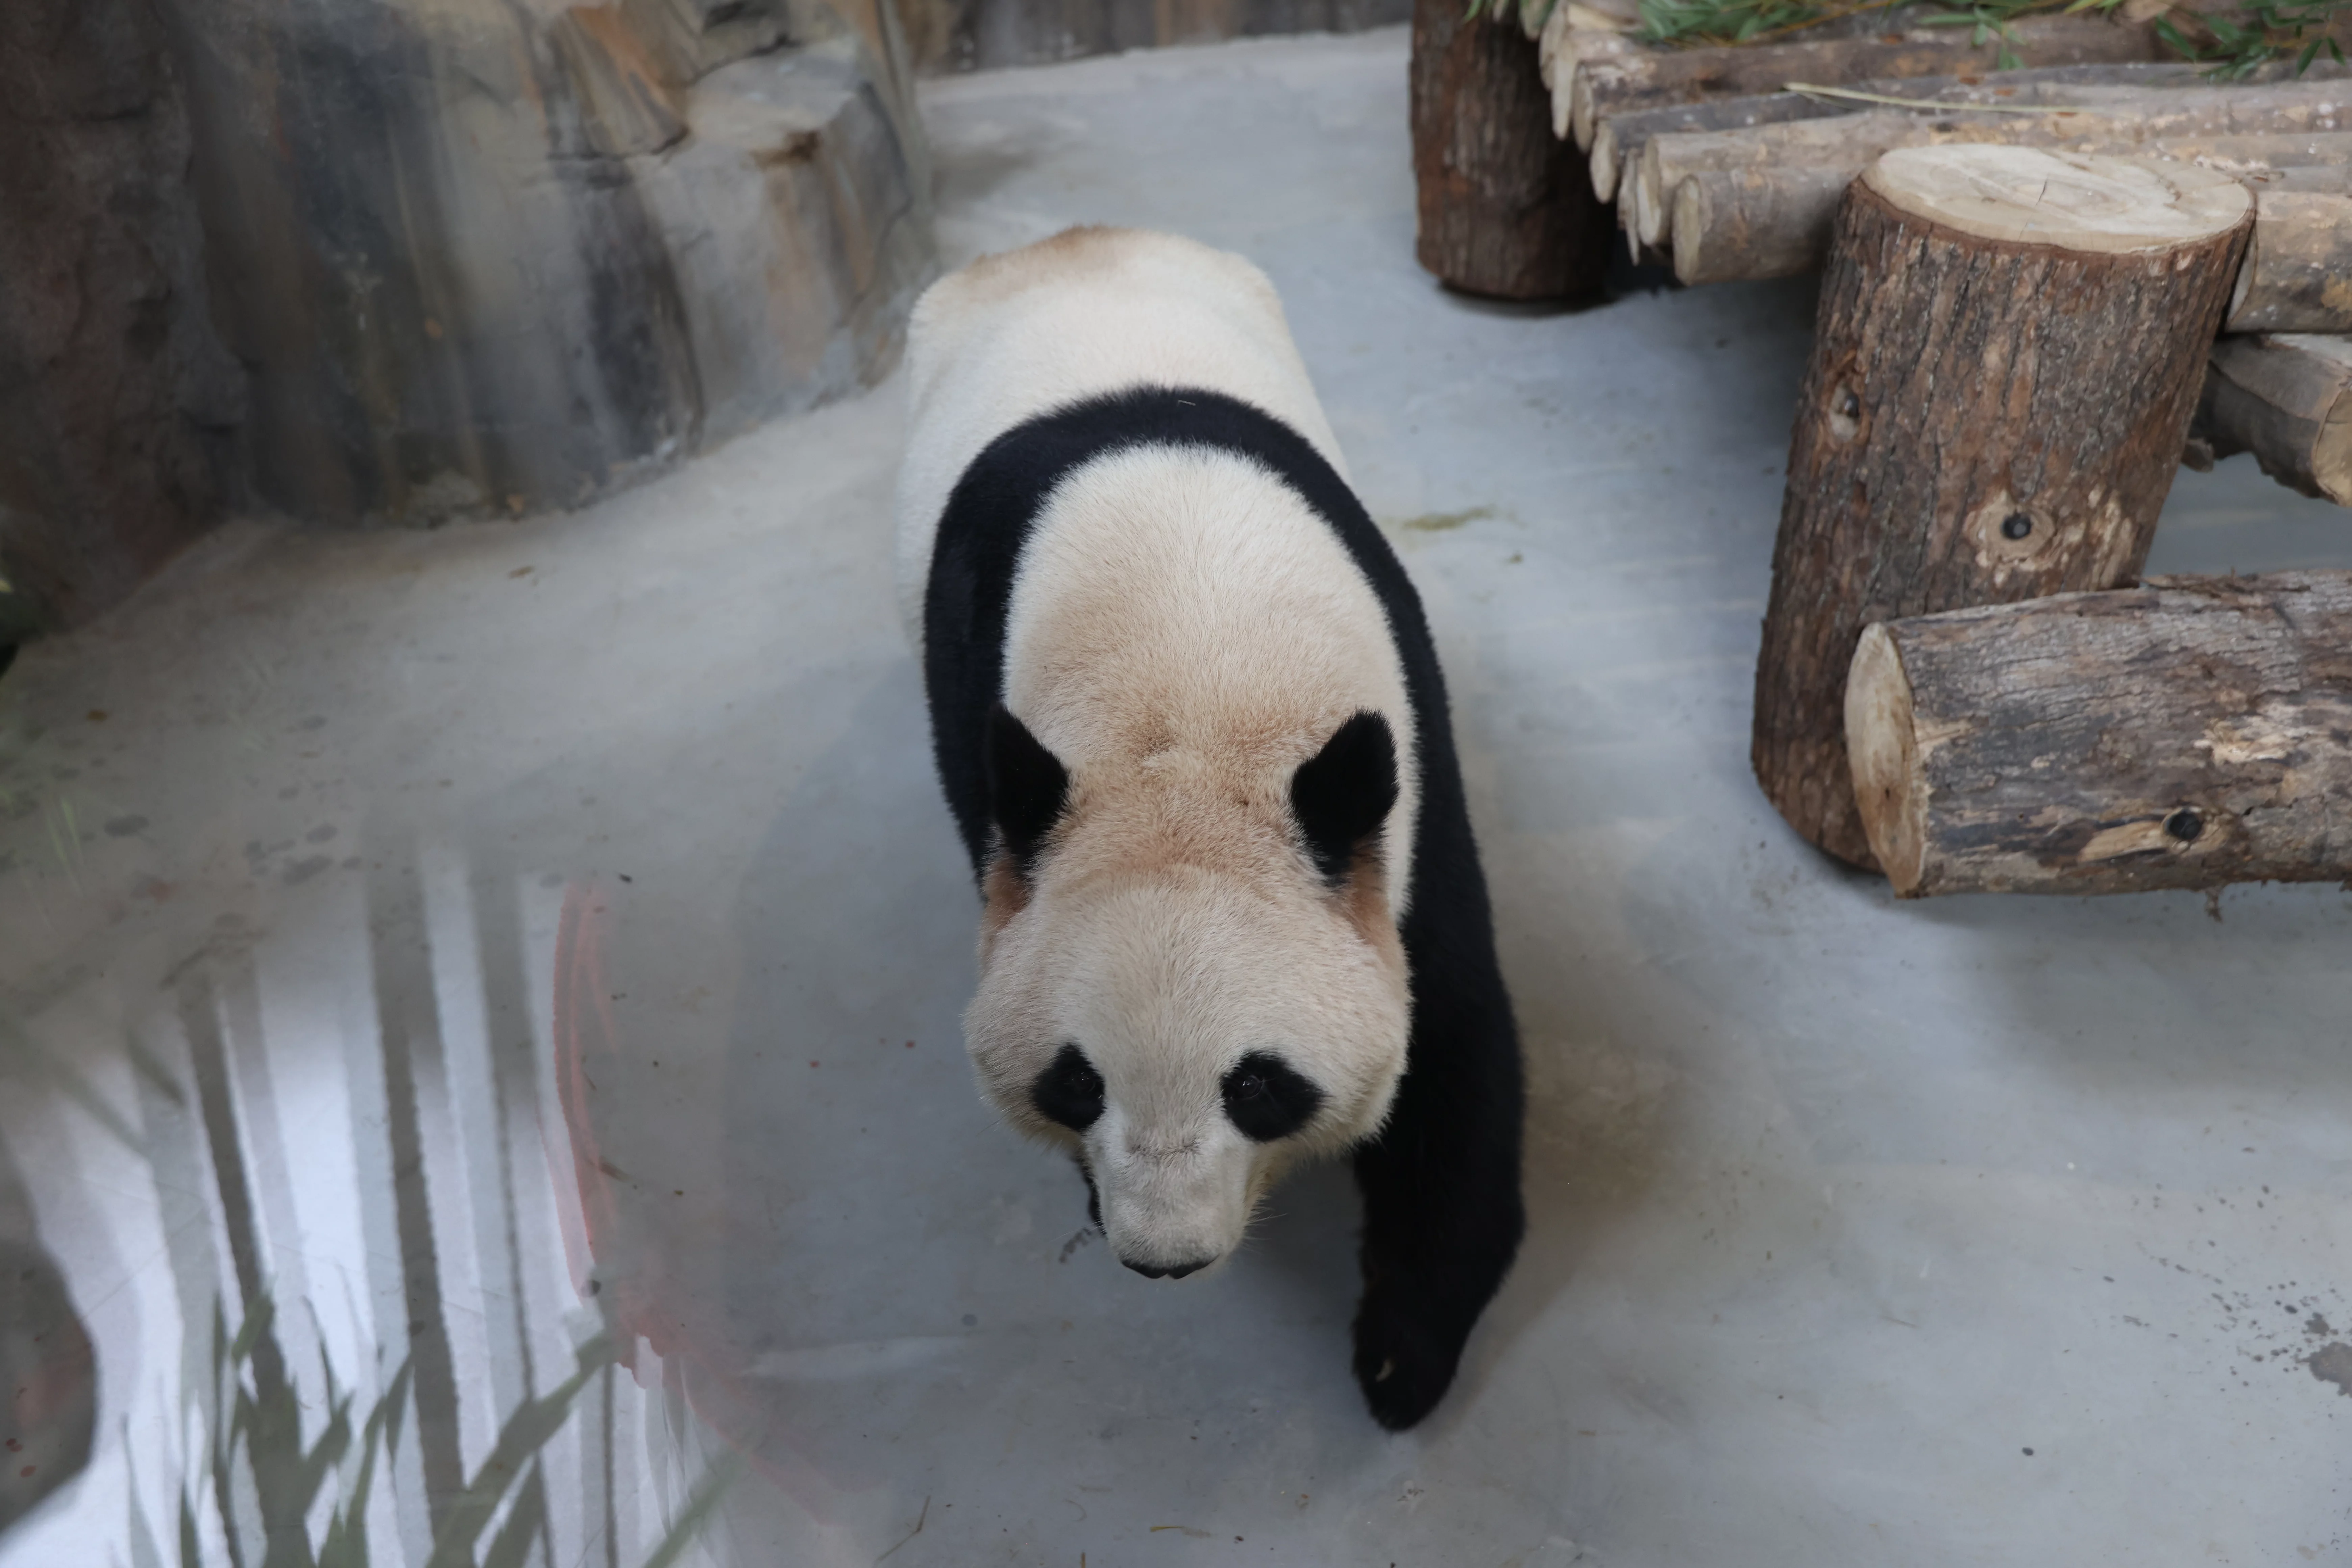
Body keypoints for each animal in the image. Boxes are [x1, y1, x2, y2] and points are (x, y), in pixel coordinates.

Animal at [894, 226, 1524, 1431]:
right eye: (1077, 1081)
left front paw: (1399, 1364)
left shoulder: (1397, 800)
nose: (1164, 1258)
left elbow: (1451, 1047)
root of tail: (1062, 242)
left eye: (1260, 1086)